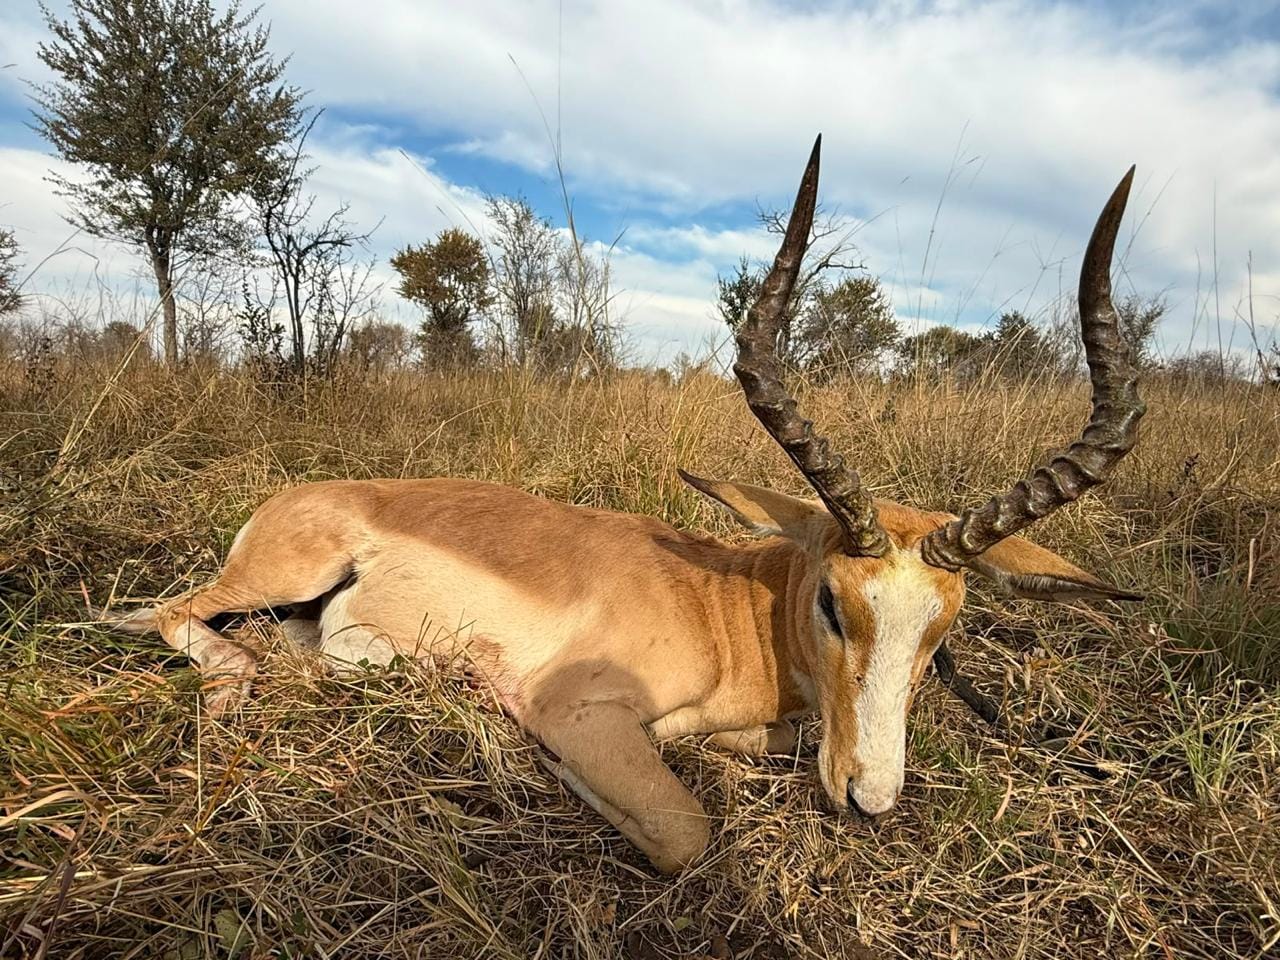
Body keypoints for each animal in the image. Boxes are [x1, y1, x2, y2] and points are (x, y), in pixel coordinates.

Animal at [97, 138, 1145, 874]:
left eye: (942, 633)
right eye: (833, 603)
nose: (870, 799)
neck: (730, 613)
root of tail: (299, 496)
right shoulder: (581, 711)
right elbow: (683, 830)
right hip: (285, 573)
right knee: (173, 614)